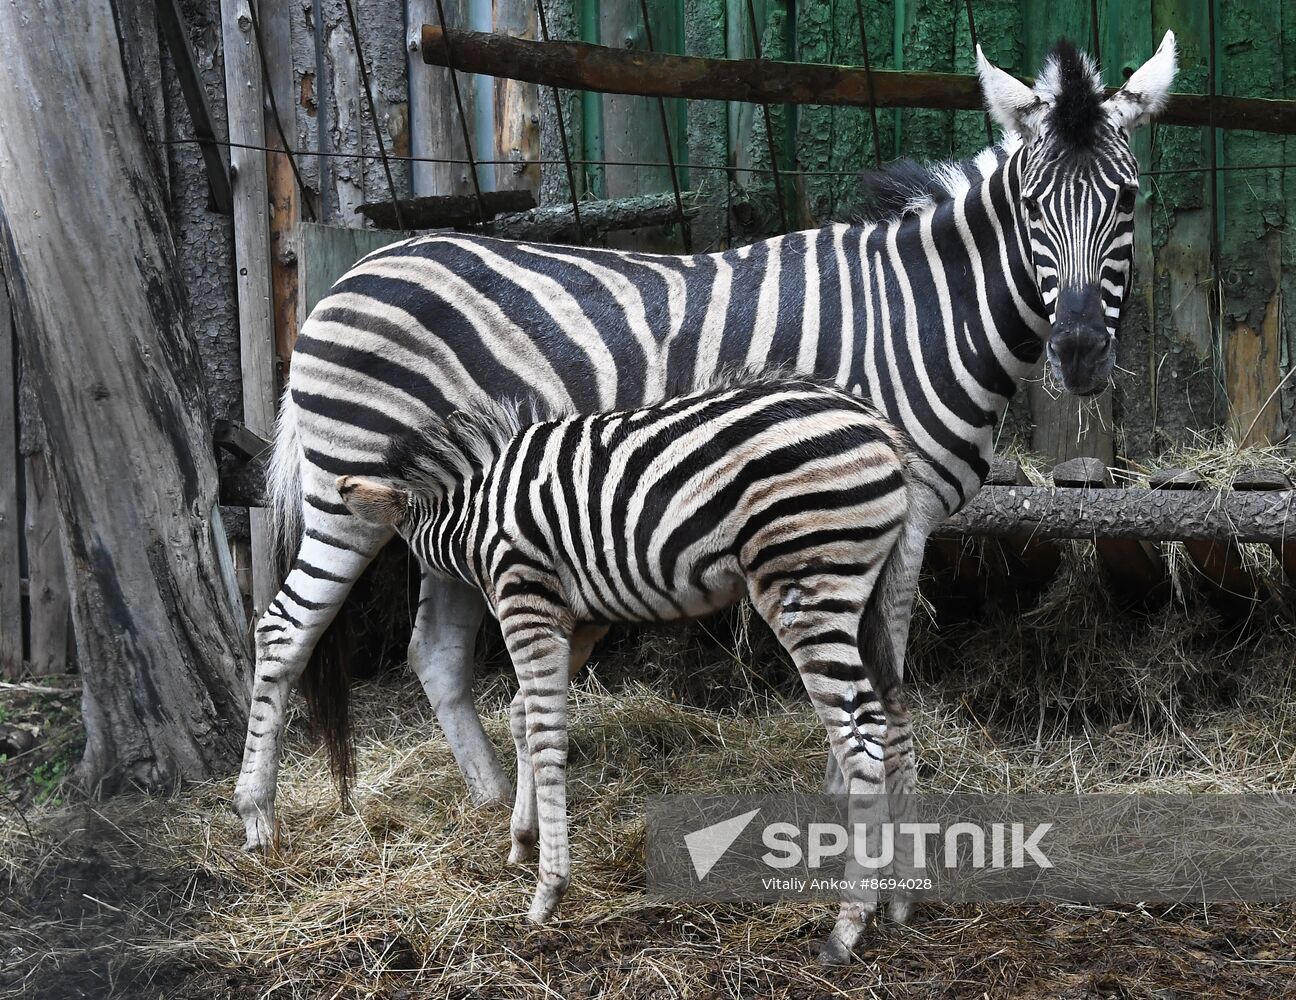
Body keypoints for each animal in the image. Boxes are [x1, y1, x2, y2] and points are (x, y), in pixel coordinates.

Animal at [233, 39, 1176, 849]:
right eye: (1034, 206)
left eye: (1129, 199)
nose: (1081, 352)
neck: (921, 314)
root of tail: (350, 275)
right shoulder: (883, 509)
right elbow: (882, 653)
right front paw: (852, 797)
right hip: (345, 493)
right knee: (281, 629)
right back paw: (259, 819)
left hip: (450, 499)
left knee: (431, 649)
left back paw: (498, 800)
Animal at [339, 378, 917, 963]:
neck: (473, 514)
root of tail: (878, 426)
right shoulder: (582, 619)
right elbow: (522, 714)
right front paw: (521, 839)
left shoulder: (527, 597)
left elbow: (545, 733)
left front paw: (548, 891)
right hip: (876, 593)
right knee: (896, 717)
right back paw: (902, 900)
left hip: (807, 581)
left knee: (862, 738)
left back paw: (847, 928)